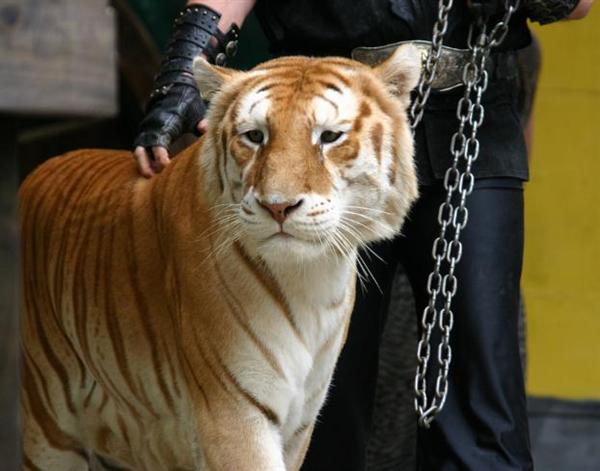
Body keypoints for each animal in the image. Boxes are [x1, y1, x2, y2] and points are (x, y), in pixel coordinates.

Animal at [21, 45, 420, 471]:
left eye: (329, 137)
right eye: (255, 136)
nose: (278, 207)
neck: (310, 277)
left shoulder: (300, 422)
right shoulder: (233, 413)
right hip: (48, 426)